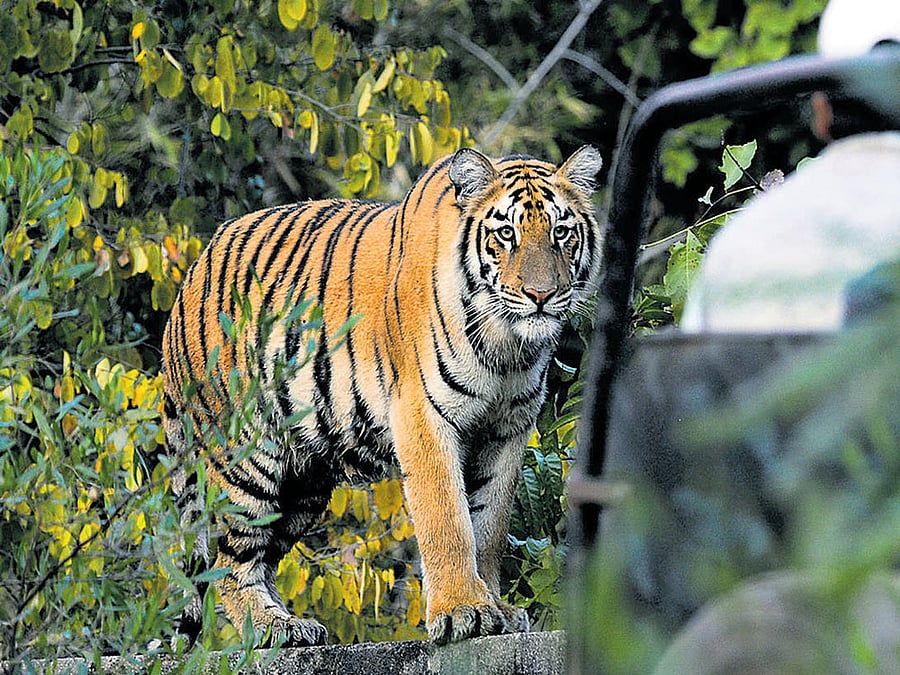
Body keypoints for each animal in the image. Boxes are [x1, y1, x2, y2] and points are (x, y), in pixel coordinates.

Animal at [161, 145, 604, 646]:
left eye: (561, 232)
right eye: (506, 233)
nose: (540, 295)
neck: (507, 345)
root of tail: (188, 278)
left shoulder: (506, 430)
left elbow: (488, 524)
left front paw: (496, 608)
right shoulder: (424, 415)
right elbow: (447, 518)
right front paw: (463, 611)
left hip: (305, 481)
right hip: (246, 455)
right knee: (227, 563)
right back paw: (277, 629)